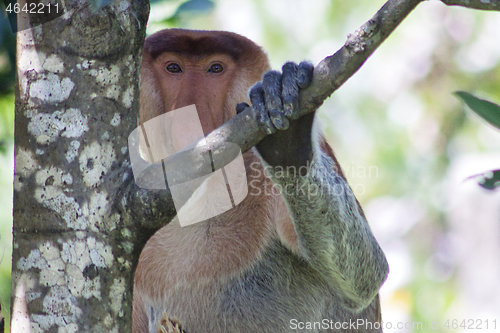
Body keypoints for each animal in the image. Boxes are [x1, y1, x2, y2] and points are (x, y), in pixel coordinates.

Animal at [134, 29, 390, 332]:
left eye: (215, 68)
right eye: (174, 68)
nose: (188, 113)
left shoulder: (262, 173)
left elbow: (365, 275)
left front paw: (286, 136)